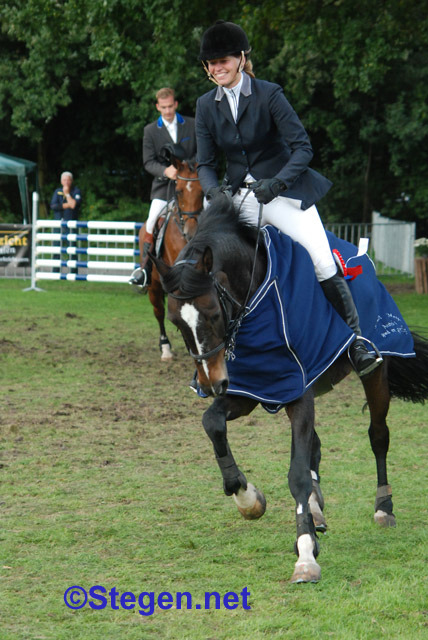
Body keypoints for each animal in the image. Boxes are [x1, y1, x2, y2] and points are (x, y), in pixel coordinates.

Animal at [139, 157, 204, 360]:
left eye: (202, 192)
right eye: (179, 191)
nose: (191, 233)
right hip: (154, 285)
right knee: (159, 312)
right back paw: (165, 347)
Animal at [154, 200, 428, 584]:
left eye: (212, 314)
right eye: (177, 322)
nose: (210, 384)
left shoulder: (296, 391)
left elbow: (296, 474)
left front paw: (306, 554)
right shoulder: (255, 389)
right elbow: (212, 423)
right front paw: (248, 498)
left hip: (375, 373)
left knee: (378, 436)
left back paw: (383, 507)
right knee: (315, 446)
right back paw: (316, 509)